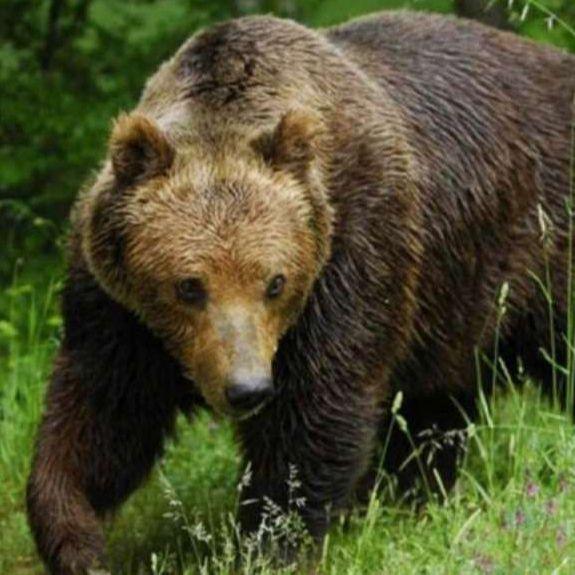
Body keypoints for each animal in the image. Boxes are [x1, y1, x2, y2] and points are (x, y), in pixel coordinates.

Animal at [25, 10, 575, 575]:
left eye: (274, 282)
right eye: (189, 285)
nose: (247, 389)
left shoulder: (352, 256)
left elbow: (315, 413)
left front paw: (269, 542)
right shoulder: (121, 313)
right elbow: (104, 415)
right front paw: (77, 537)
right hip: (451, 305)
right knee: (435, 408)